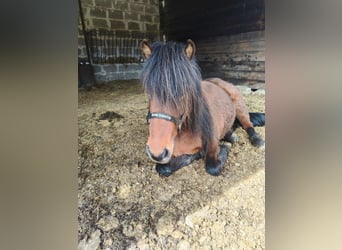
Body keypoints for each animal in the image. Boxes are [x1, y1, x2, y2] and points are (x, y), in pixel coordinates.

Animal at [139, 39, 264, 177]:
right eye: (148, 92)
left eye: (184, 91)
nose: (157, 152)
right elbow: (162, 167)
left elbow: (212, 167)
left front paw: (223, 147)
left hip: (240, 108)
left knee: (248, 125)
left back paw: (257, 140)